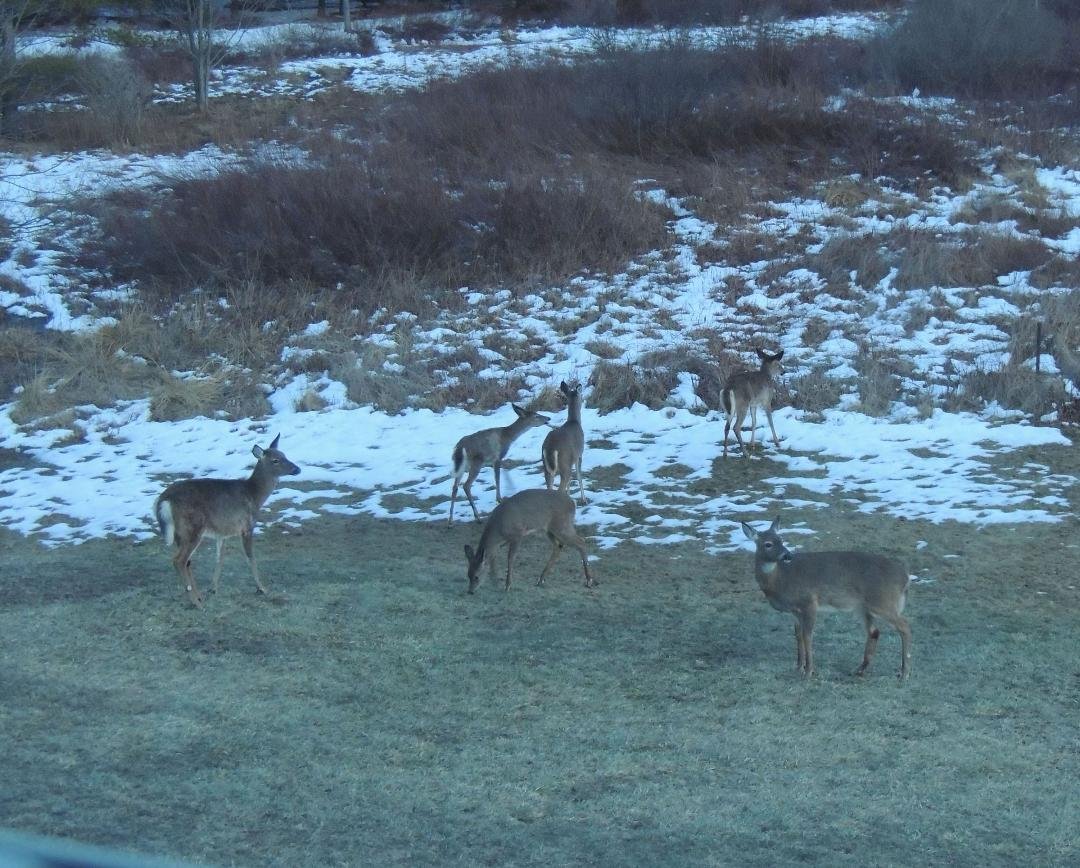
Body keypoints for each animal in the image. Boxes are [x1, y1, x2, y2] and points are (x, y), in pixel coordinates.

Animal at [154, 434, 300, 608]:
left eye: (284, 455)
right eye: (275, 460)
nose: (297, 469)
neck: (254, 495)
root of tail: (164, 499)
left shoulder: (221, 532)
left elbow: (220, 559)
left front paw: (213, 588)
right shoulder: (247, 526)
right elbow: (250, 558)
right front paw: (262, 588)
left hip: (181, 533)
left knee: (187, 562)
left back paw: (199, 597)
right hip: (193, 527)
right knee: (179, 561)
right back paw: (196, 602)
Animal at [464, 489, 594, 593]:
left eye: (476, 577)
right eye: (468, 574)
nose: (470, 591)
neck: (498, 529)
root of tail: (572, 503)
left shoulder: (517, 535)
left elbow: (510, 558)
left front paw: (507, 585)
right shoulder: (498, 545)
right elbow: (492, 560)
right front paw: (495, 582)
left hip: (562, 525)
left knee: (581, 542)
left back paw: (589, 580)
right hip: (549, 529)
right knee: (558, 547)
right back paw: (541, 579)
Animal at [741, 516, 912, 680]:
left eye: (781, 540)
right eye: (768, 544)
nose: (788, 555)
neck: (781, 579)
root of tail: (905, 578)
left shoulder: (810, 602)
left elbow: (807, 636)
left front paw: (808, 671)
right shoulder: (795, 611)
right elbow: (798, 636)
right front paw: (799, 667)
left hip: (883, 602)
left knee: (904, 626)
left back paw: (904, 672)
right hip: (863, 607)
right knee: (874, 631)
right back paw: (860, 669)